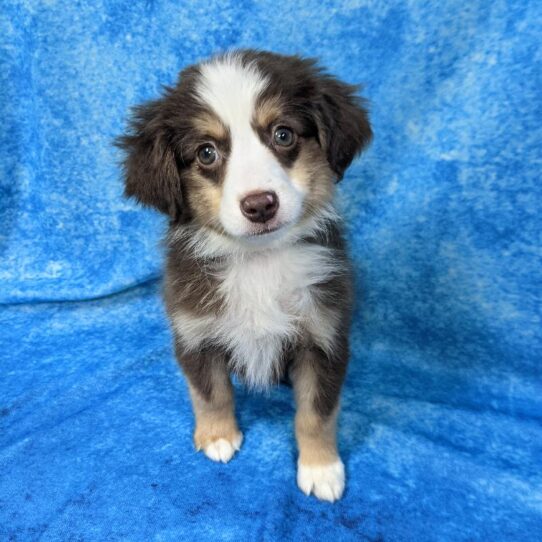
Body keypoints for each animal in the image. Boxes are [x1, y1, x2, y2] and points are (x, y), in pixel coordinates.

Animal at [118, 52, 374, 506]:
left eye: (283, 134)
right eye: (206, 153)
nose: (259, 205)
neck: (259, 261)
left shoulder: (324, 337)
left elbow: (316, 412)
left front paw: (321, 469)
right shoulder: (195, 333)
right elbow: (211, 392)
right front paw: (218, 437)